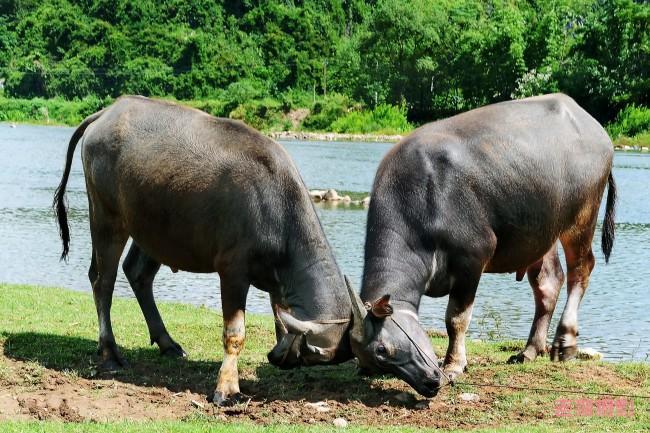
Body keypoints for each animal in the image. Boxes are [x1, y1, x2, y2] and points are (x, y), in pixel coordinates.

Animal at [53, 96, 352, 404]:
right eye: (307, 353)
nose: (277, 358)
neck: (275, 208)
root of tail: (106, 113)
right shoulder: (232, 272)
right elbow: (235, 333)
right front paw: (226, 388)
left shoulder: (276, 281)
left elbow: (279, 316)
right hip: (106, 217)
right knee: (103, 281)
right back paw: (110, 353)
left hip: (153, 229)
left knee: (136, 273)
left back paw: (168, 343)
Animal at [344, 93, 612, 394]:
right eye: (373, 357)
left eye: (384, 349)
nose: (430, 383)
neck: (423, 198)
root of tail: (593, 127)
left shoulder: (471, 260)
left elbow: (455, 319)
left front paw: (453, 365)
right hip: (542, 233)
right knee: (549, 283)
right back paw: (529, 350)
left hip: (582, 220)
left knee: (581, 271)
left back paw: (564, 343)